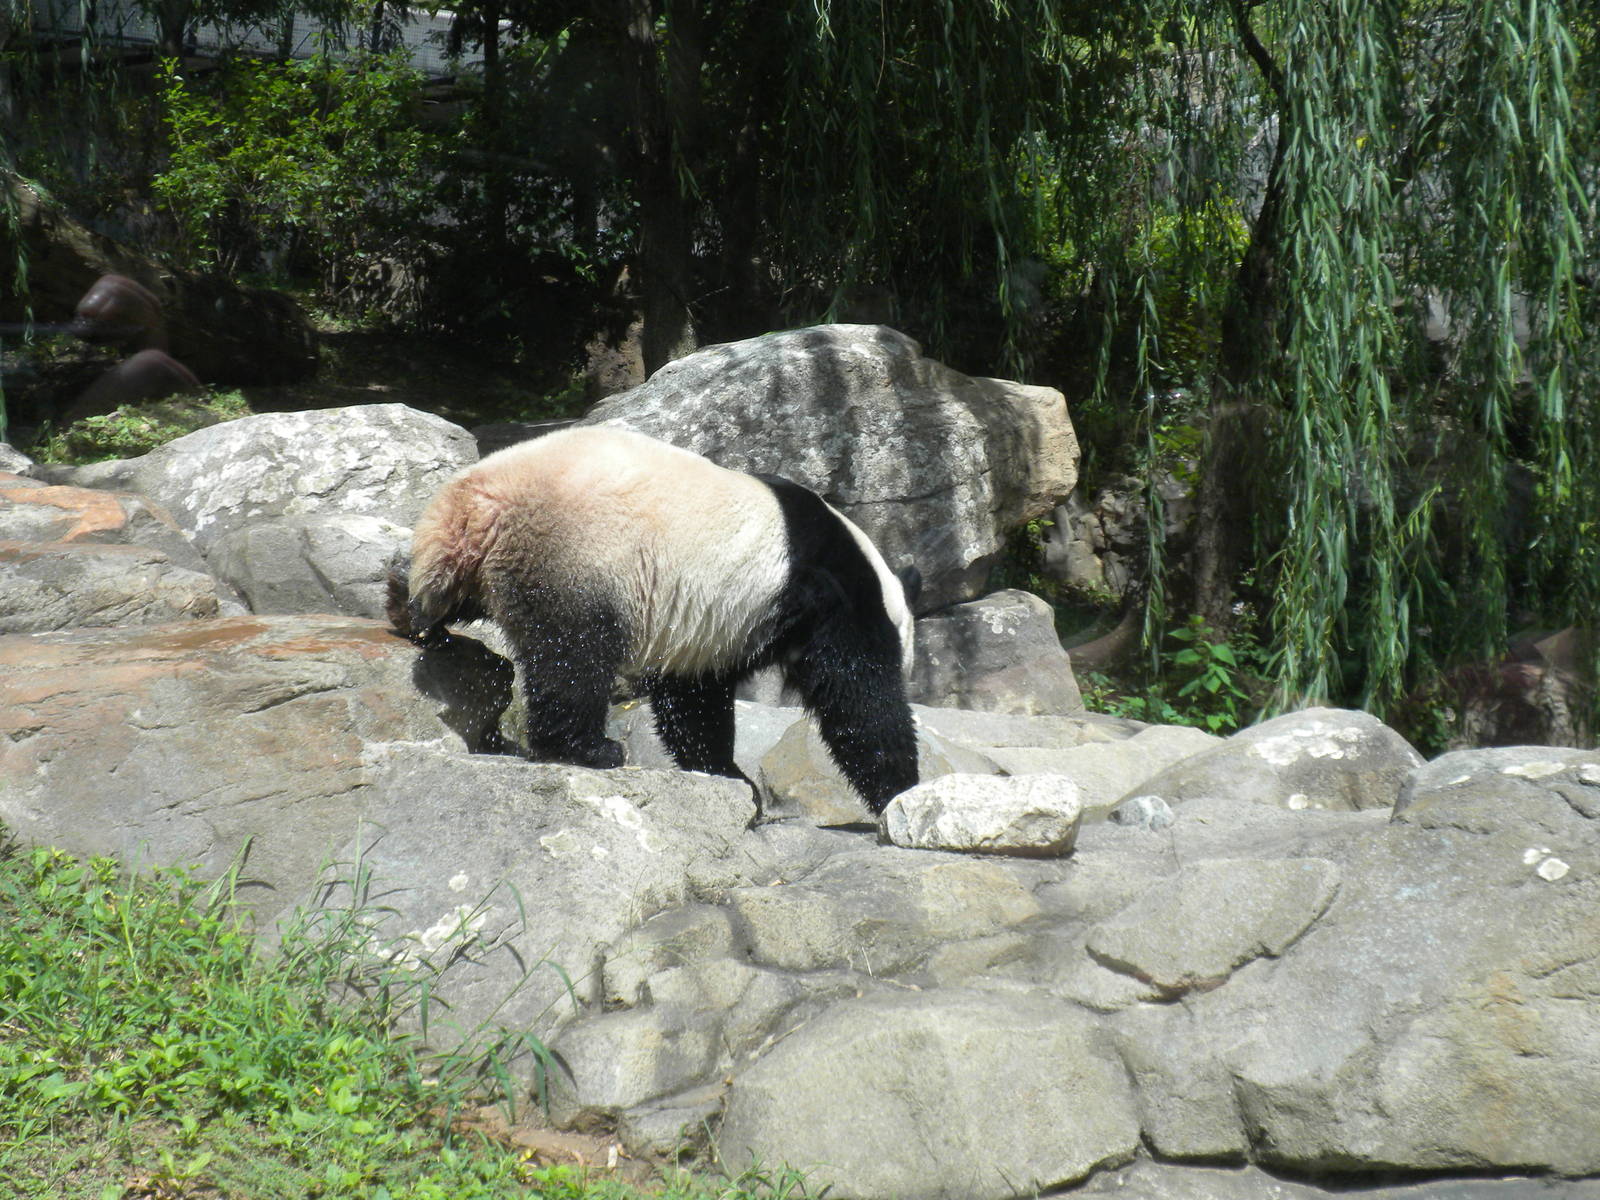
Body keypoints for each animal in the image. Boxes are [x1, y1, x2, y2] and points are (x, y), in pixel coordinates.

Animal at [389, 425, 919, 814]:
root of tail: (473, 500)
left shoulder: (705, 626)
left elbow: (691, 696)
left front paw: (728, 776)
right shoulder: (829, 600)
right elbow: (858, 698)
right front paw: (901, 790)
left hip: (482, 558)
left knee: (448, 595)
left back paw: (410, 613)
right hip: (573, 552)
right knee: (573, 656)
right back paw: (587, 748)